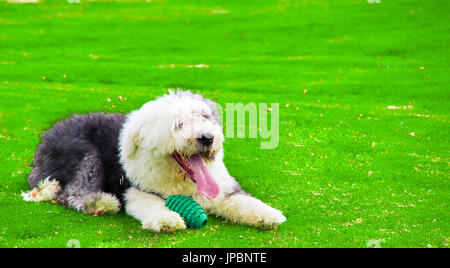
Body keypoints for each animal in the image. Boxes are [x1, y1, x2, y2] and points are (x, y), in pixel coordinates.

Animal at [23, 90, 284, 232]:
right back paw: (99, 203)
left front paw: (268, 215)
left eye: (205, 117)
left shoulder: (223, 188)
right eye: (178, 123)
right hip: (82, 151)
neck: (183, 182)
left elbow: (242, 201)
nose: (207, 138)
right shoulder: (135, 189)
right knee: (72, 192)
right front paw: (166, 219)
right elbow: (150, 203)